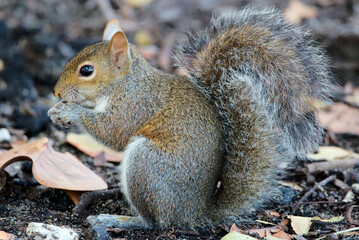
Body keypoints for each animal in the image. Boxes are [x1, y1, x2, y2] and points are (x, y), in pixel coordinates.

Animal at [47, 6, 334, 230]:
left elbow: (113, 132)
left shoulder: (134, 106)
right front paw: (55, 110)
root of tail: (193, 213)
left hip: (147, 165)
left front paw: (69, 111)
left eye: (87, 70)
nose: (56, 92)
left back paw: (118, 220)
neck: (125, 82)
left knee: (155, 222)